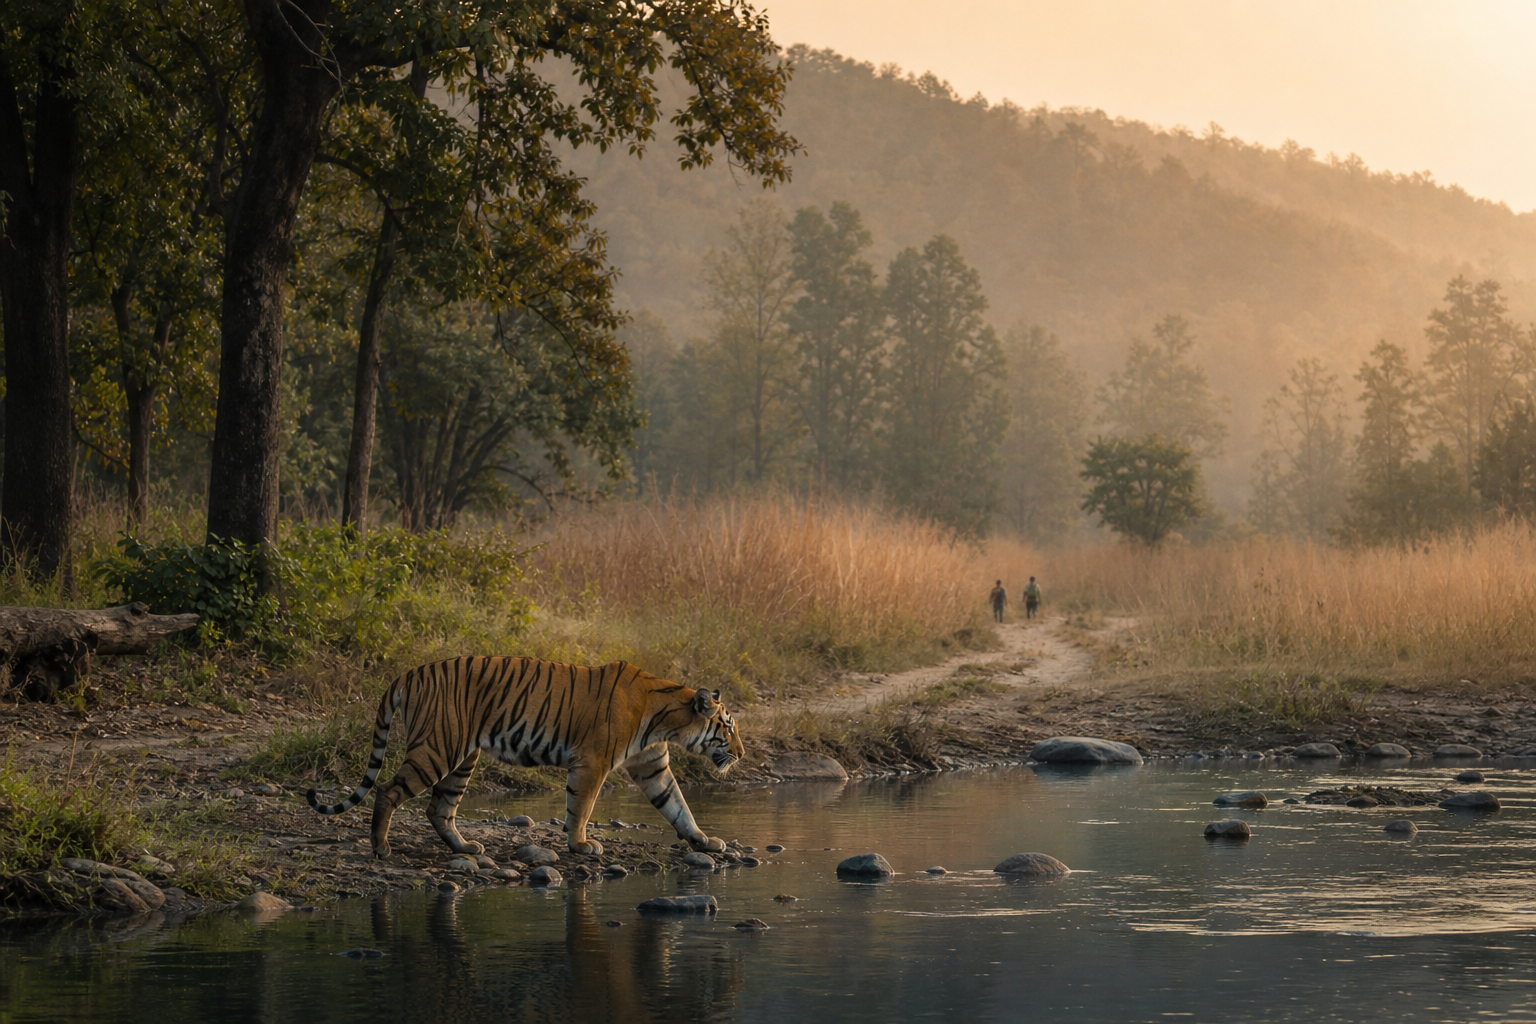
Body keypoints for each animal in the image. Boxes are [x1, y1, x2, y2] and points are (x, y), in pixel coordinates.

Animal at [305, 656, 743, 859]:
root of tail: (408, 673)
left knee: (439, 808)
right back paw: (381, 848)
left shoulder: (653, 766)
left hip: (462, 758)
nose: (740, 754)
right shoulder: (593, 762)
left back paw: (466, 848)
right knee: (387, 792)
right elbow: (581, 807)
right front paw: (581, 844)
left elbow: (678, 806)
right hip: (437, 749)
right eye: (728, 727)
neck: (667, 721)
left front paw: (704, 840)